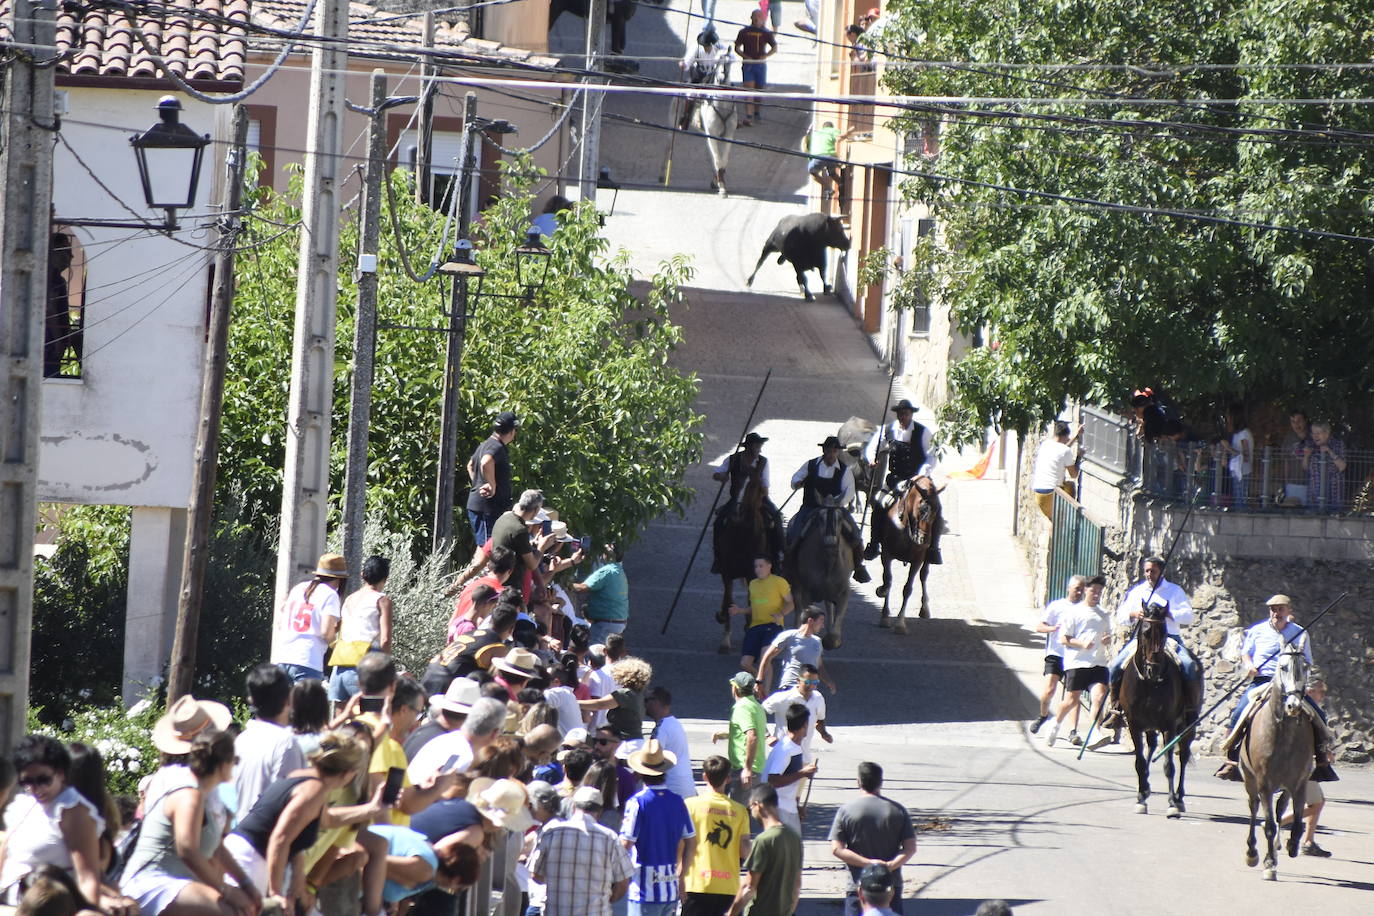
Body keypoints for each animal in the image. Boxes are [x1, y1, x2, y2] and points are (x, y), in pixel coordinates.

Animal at [719, 477, 774, 656]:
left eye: (755, 484)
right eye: (735, 480)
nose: (737, 513)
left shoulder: (753, 573)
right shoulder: (727, 572)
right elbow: (728, 600)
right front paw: (725, 641)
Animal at [873, 477, 939, 634]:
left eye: (937, 511)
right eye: (922, 509)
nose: (923, 540)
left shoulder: (918, 560)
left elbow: (908, 589)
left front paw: (900, 623)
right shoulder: (887, 554)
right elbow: (888, 581)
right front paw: (885, 616)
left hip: (926, 558)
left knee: (923, 576)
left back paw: (925, 609)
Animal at [1121, 609, 1187, 818]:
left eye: (1164, 632)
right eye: (1145, 632)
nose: (1153, 670)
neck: (1149, 684)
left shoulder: (1169, 726)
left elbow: (1169, 766)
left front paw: (1172, 804)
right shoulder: (1134, 724)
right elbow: (1140, 763)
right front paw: (1141, 798)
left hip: (1187, 726)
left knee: (1183, 756)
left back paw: (1179, 798)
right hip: (1149, 726)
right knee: (1150, 747)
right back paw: (1146, 789)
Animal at [1242, 637, 1313, 878]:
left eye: (1306, 667)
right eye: (1282, 667)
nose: (1293, 706)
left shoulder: (1299, 783)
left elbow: (1297, 822)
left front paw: (1292, 846)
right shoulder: (1264, 783)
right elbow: (1270, 825)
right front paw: (1269, 862)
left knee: (1280, 809)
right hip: (1250, 780)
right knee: (1254, 808)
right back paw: (1253, 852)